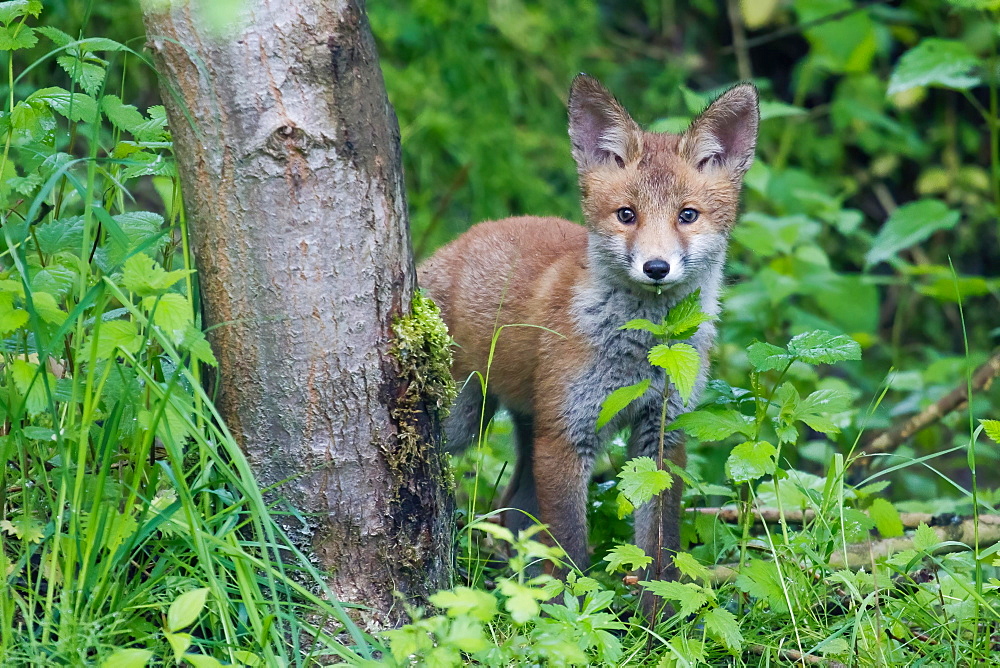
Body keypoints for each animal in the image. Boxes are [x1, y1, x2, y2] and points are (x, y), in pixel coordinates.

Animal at [420, 75, 756, 588]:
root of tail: (449, 247)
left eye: (688, 215)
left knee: (512, 511)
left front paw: (658, 609)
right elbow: (570, 557)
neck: (639, 352)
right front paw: (575, 609)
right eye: (626, 214)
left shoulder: (662, 435)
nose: (656, 268)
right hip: (465, 420)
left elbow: (659, 551)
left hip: (525, 425)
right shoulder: (565, 435)